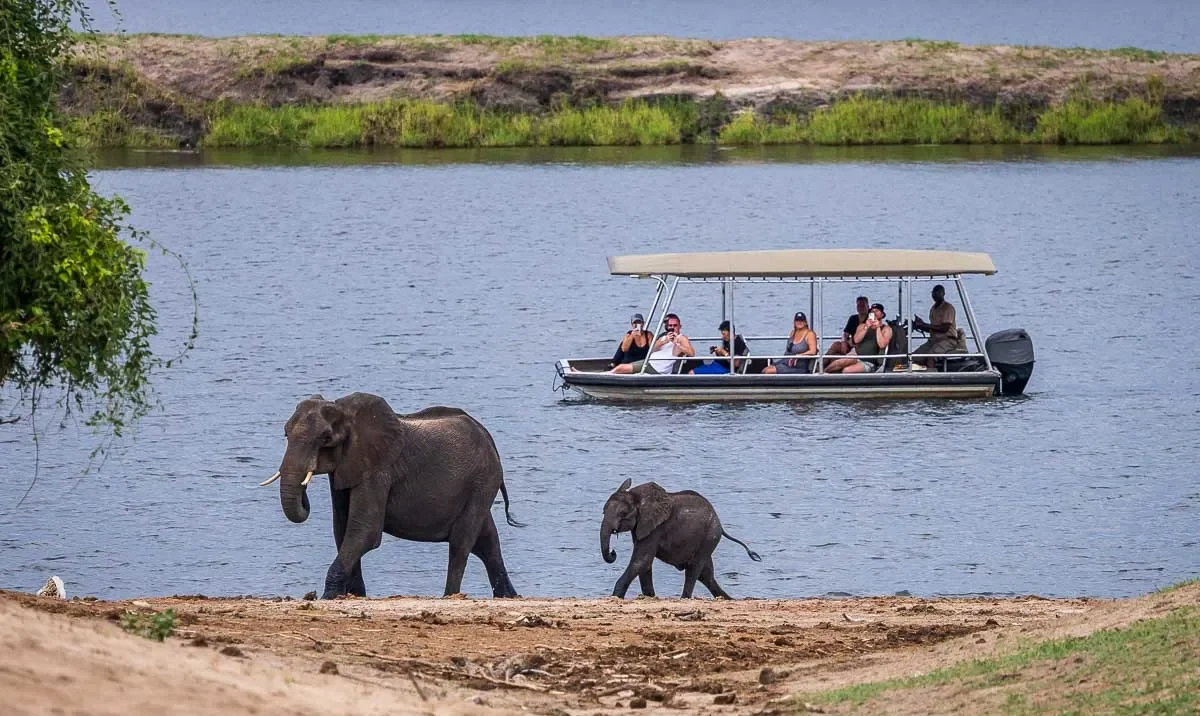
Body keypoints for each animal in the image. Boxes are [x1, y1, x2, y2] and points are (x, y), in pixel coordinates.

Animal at [259, 392, 522, 599]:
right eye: (285, 434)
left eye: (325, 439)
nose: (305, 496)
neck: (346, 412)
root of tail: (488, 437)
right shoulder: (346, 468)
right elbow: (342, 529)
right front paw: (355, 596)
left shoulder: (378, 471)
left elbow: (365, 530)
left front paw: (327, 598)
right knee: (487, 542)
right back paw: (508, 596)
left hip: (482, 481)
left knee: (461, 543)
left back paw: (450, 597)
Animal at [600, 478, 762, 599]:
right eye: (603, 511)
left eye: (622, 513)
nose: (613, 552)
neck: (636, 495)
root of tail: (721, 526)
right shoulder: (642, 527)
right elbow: (645, 564)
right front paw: (650, 597)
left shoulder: (656, 528)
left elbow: (642, 560)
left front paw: (616, 597)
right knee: (706, 575)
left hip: (709, 536)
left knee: (694, 569)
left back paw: (685, 598)